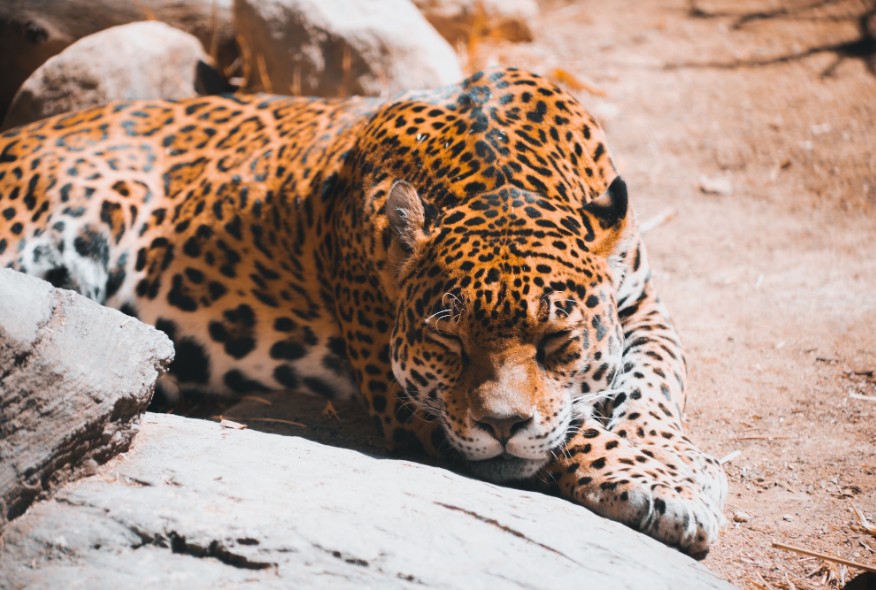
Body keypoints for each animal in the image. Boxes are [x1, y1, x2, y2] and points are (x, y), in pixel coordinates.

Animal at [0, 68, 727, 557]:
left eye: (555, 341)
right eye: (450, 344)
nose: (500, 426)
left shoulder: (643, 303)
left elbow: (655, 381)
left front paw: (671, 463)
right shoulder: (405, 395)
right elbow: (567, 429)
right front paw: (659, 484)